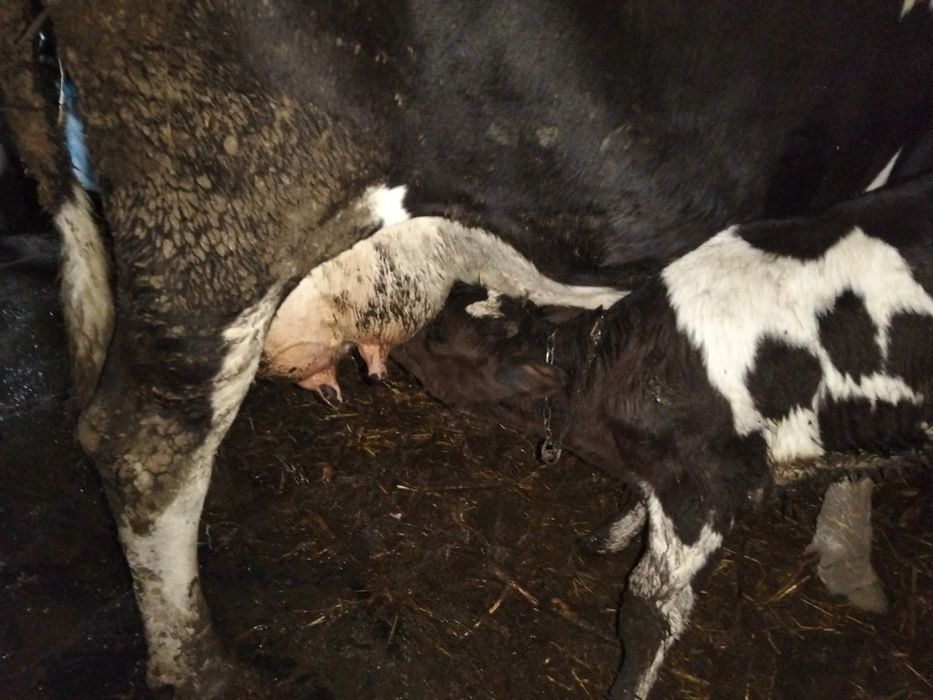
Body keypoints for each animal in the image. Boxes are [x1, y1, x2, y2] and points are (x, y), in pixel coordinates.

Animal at [394, 172, 933, 698]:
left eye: (438, 336)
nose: (390, 339)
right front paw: (610, 534)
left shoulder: (707, 491)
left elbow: (647, 613)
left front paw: (628, 688)